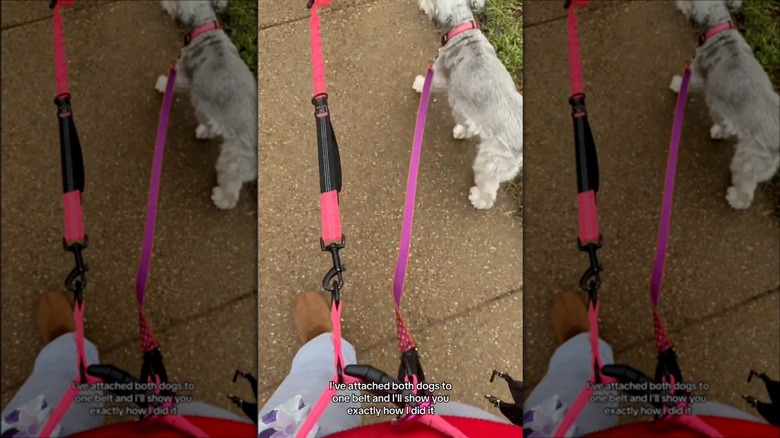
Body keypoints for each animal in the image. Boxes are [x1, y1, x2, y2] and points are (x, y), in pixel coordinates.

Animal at [157, 0, 258, 210]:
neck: (205, 29)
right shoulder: (208, 108)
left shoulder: (184, 78)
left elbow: (173, 83)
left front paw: (162, 85)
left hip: (232, 161)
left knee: (231, 190)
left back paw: (221, 198)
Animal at [414, 0, 524, 210]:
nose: (419, 3)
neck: (463, 31)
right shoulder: (467, 108)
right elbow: (466, 122)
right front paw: (462, 132)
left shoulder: (440, 78)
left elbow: (429, 83)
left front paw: (418, 84)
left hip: (490, 161)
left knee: (488, 190)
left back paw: (478, 199)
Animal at [672, 0, 780, 210]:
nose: (677, 3)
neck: (720, 30)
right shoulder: (723, 108)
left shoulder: (699, 78)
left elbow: (687, 84)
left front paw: (676, 84)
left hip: (747, 161)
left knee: (746, 189)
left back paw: (736, 198)